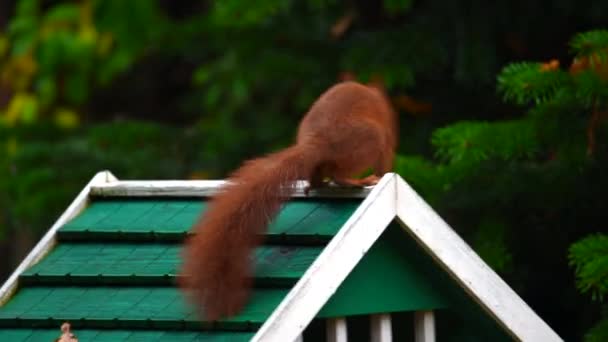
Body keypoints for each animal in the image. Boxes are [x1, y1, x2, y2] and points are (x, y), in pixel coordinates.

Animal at [179, 81, 400, 322]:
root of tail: (317, 140)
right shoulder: (387, 134)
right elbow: (386, 162)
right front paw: (385, 175)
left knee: (319, 176)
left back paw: (316, 185)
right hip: (369, 139)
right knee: (340, 174)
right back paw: (357, 181)